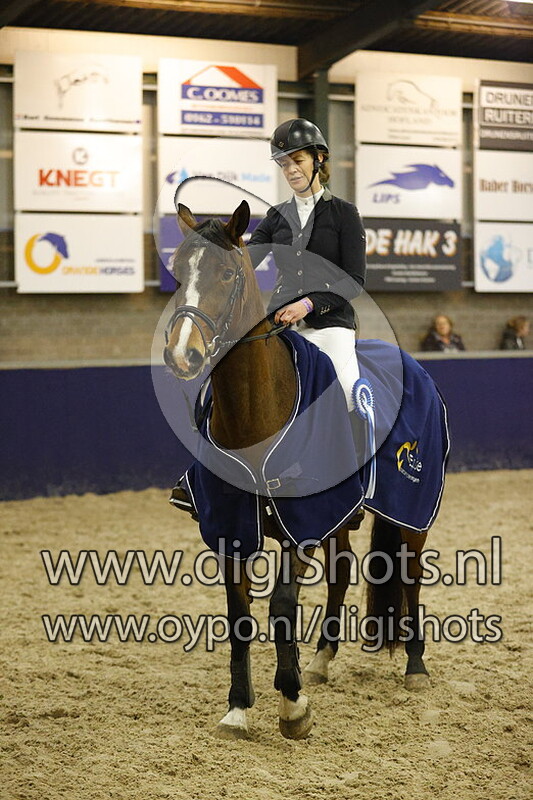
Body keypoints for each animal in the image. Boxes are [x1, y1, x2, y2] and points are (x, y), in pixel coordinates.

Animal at [164, 200, 443, 740]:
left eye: (227, 274)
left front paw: (292, 706)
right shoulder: (232, 526)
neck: (256, 412)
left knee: (411, 574)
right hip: (341, 519)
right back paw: (321, 659)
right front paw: (238, 708)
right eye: (177, 271)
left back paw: (415, 668)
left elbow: (280, 606)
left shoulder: (302, 525)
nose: (181, 354)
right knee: (342, 573)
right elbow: (240, 615)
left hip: (411, 510)